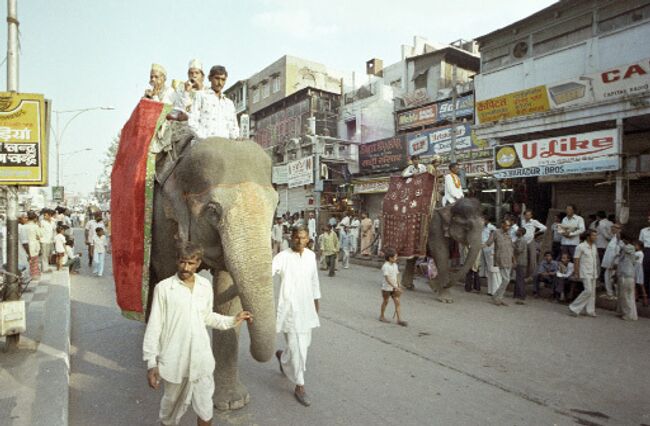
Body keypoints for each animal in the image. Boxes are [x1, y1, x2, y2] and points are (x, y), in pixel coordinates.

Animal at [149, 136, 278, 410]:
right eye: (212, 211)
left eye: (277, 206)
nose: (250, 317)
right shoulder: (163, 223)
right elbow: (166, 276)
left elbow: (226, 290)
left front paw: (232, 403)